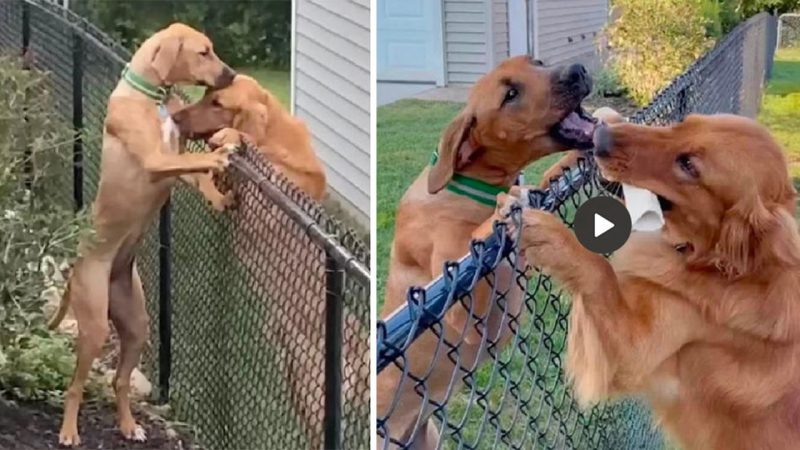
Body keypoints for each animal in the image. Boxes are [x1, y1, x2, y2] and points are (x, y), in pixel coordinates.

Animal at [47, 22, 238, 444]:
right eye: (204, 52)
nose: (231, 75)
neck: (151, 95)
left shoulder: (173, 163)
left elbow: (197, 174)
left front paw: (219, 197)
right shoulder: (156, 160)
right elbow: (198, 160)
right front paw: (220, 154)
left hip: (136, 324)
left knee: (119, 381)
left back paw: (128, 425)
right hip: (95, 324)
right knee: (75, 385)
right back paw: (69, 431)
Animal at [378, 55, 596, 446]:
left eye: (537, 62)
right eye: (510, 95)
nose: (578, 70)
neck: (467, 185)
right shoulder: (458, 304)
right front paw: (504, 205)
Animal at [510, 115, 800, 450]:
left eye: (688, 165)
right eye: (683, 124)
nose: (601, 138)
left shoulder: (631, 356)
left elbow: (600, 272)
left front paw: (553, 237)